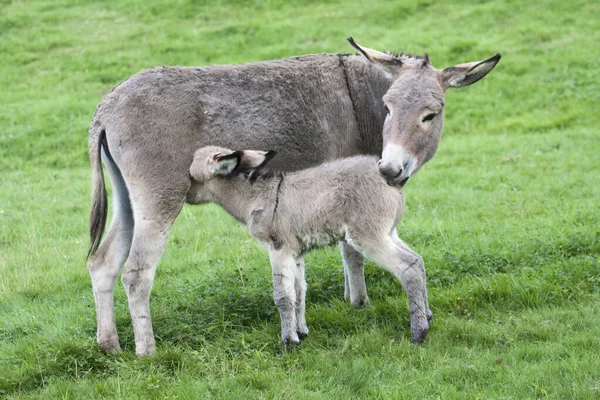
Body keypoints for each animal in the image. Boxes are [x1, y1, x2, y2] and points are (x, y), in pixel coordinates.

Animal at [190, 146, 428, 346]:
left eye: (191, 175)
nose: (185, 195)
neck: (254, 198)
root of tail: (389, 180)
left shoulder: (278, 249)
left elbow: (283, 296)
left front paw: (288, 342)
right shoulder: (296, 253)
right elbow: (299, 291)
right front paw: (301, 332)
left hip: (367, 236)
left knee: (408, 268)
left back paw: (419, 333)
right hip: (389, 232)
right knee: (418, 260)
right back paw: (428, 315)